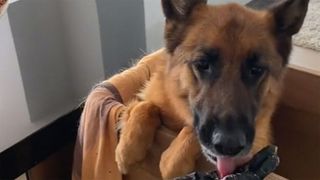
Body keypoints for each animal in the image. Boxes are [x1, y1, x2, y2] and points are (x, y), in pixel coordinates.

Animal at [114, 0, 308, 179]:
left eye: (256, 70)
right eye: (202, 64)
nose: (229, 146)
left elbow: (189, 130)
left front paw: (173, 159)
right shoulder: (139, 102)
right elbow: (144, 106)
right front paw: (127, 147)